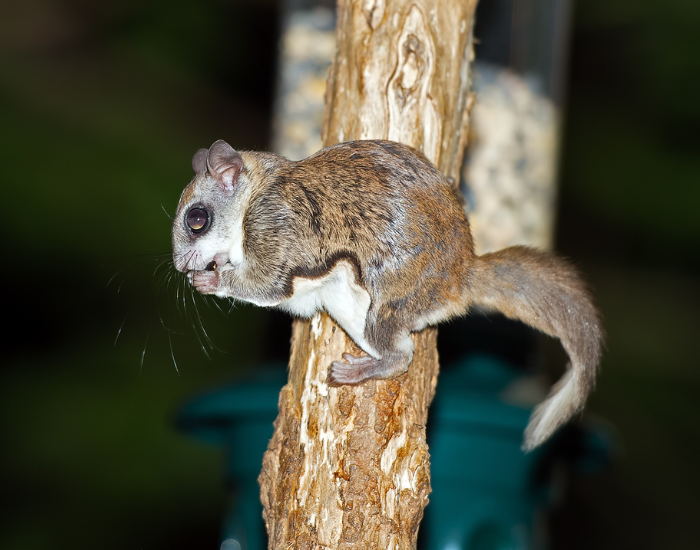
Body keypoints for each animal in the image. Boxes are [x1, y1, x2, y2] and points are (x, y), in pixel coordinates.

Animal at [172, 139, 602, 450]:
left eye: (197, 219)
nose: (180, 268)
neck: (255, 193)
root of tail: (462, 275)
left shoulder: (276, 228)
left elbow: (266, 282)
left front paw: (211, 281)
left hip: (385, 306)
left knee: (401, 357)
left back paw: (361, 370)